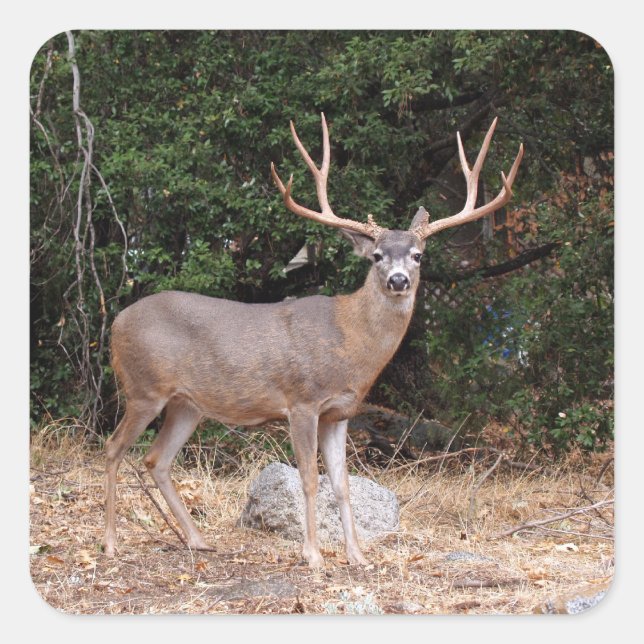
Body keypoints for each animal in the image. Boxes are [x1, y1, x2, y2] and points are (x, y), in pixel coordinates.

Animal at [103, 113, 523, 567]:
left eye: (418, 255)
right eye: (376, 256)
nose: (398, 280)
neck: (350, 342)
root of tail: (115, 323)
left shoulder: (339, 412)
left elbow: (341, 483)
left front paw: (358, 556)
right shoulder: (301, 401)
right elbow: (307, 478)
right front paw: (313, 554)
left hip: (186, 404)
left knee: (156, 459)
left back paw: (198, 540)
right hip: (143, 388)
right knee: (113, 448)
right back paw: (109, 543)